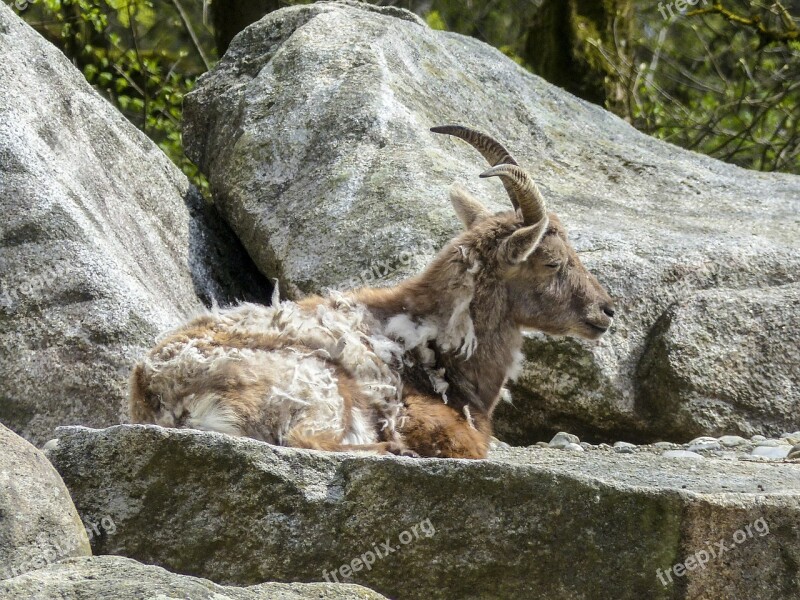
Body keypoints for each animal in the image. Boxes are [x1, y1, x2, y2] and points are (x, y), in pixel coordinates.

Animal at [131, 124, 616, 458]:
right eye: (552, 261)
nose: (607, 310)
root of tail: (156, 390)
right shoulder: (428, 420)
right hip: (318, 384)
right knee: (303, 440)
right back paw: (396, 451)